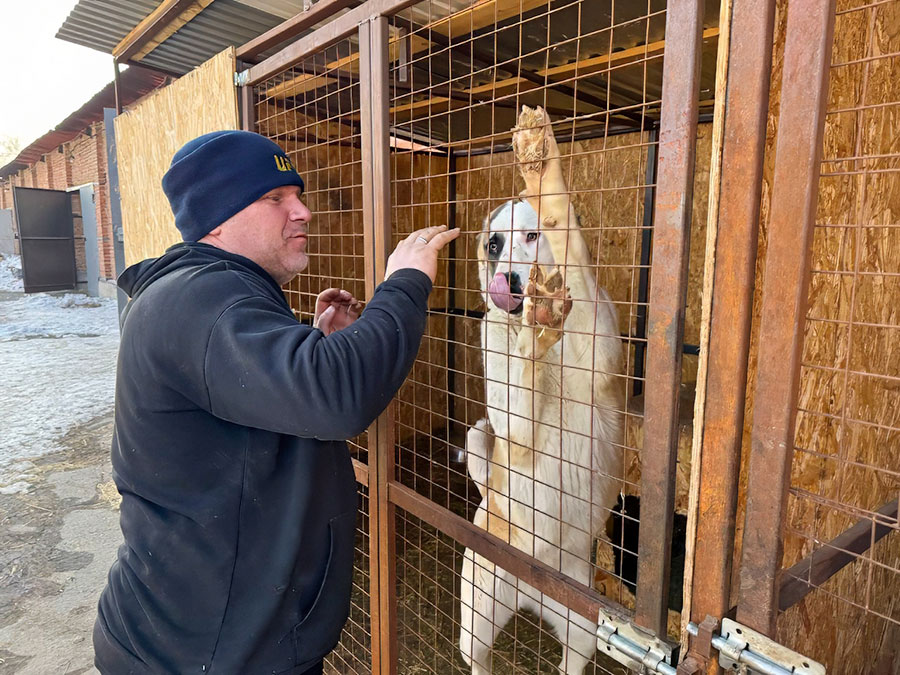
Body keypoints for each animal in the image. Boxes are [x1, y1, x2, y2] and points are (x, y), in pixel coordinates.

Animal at [458, 108, 624, 672]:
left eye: (531, 236)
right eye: (493, 244)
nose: (507, 280)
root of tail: (531, 590)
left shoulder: (596, 345)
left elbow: (569, 242)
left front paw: (546, 173)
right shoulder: (513, 416)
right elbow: (519, 399)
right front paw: (531, 337)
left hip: (584, 625)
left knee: (572, 660)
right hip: (476, 615)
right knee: (478, 658)